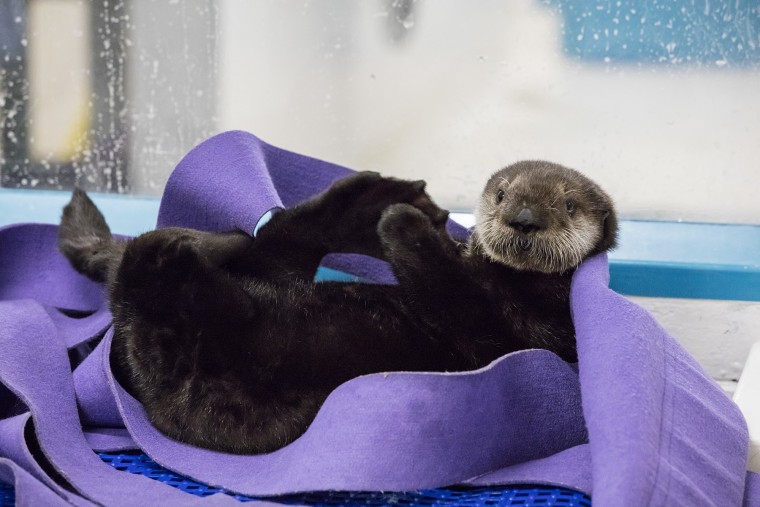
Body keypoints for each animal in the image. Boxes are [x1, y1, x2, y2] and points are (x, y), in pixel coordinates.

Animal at [58, 161, 616, 454]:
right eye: (501, 194)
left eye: (568, 205)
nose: (523, 218)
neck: (505, 278)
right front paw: (409, 217)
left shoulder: (518, 330)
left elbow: (453, 297)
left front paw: (402, 223)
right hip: (256, 286)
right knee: (276, 240)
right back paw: (364, 202)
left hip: (191, 365)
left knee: (154, 277)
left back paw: (193, 252)